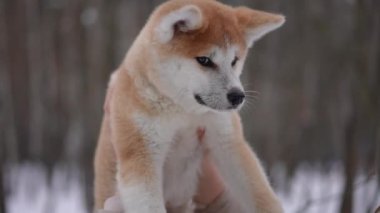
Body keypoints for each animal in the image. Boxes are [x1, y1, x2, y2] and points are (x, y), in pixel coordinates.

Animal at [94, 0, 284, 213]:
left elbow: (262, 195)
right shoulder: (141, 153)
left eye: (234, 61)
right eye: (204, 60)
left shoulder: (227, 140)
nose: (237, 96)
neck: (183, 111)